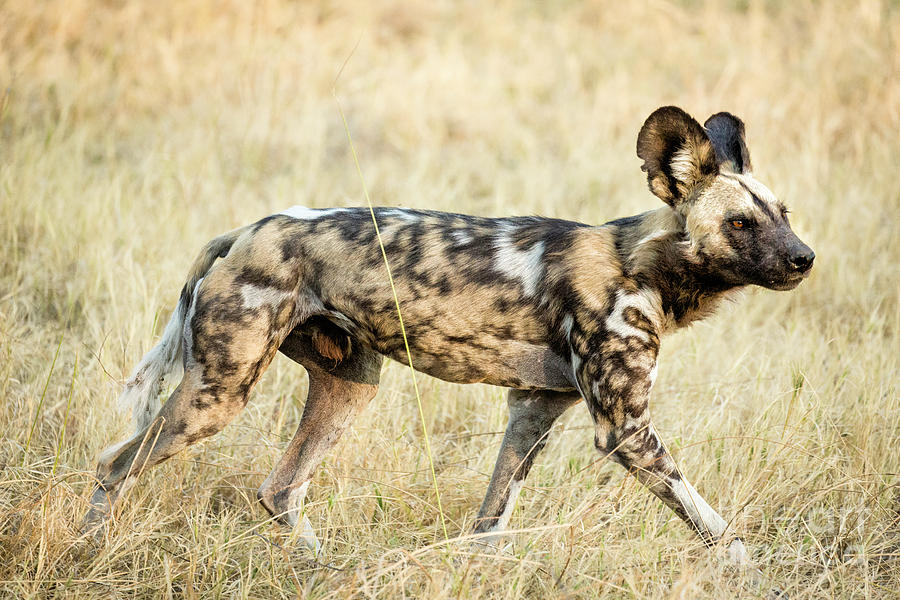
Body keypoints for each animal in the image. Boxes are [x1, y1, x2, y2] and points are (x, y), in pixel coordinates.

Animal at [84, 105, 816, 568]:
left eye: (784, 214)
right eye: (742, 224)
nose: (806, 258)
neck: (643, 266)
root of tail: (245, 229)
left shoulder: (534, 410)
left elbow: (489, 525)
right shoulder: (626, 431)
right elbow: (721, 533)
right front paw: (756, 576)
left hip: (351, 386)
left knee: (280, 489)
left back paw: (326, 570)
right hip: (219, 394)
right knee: (114, 465)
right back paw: (86, 553)